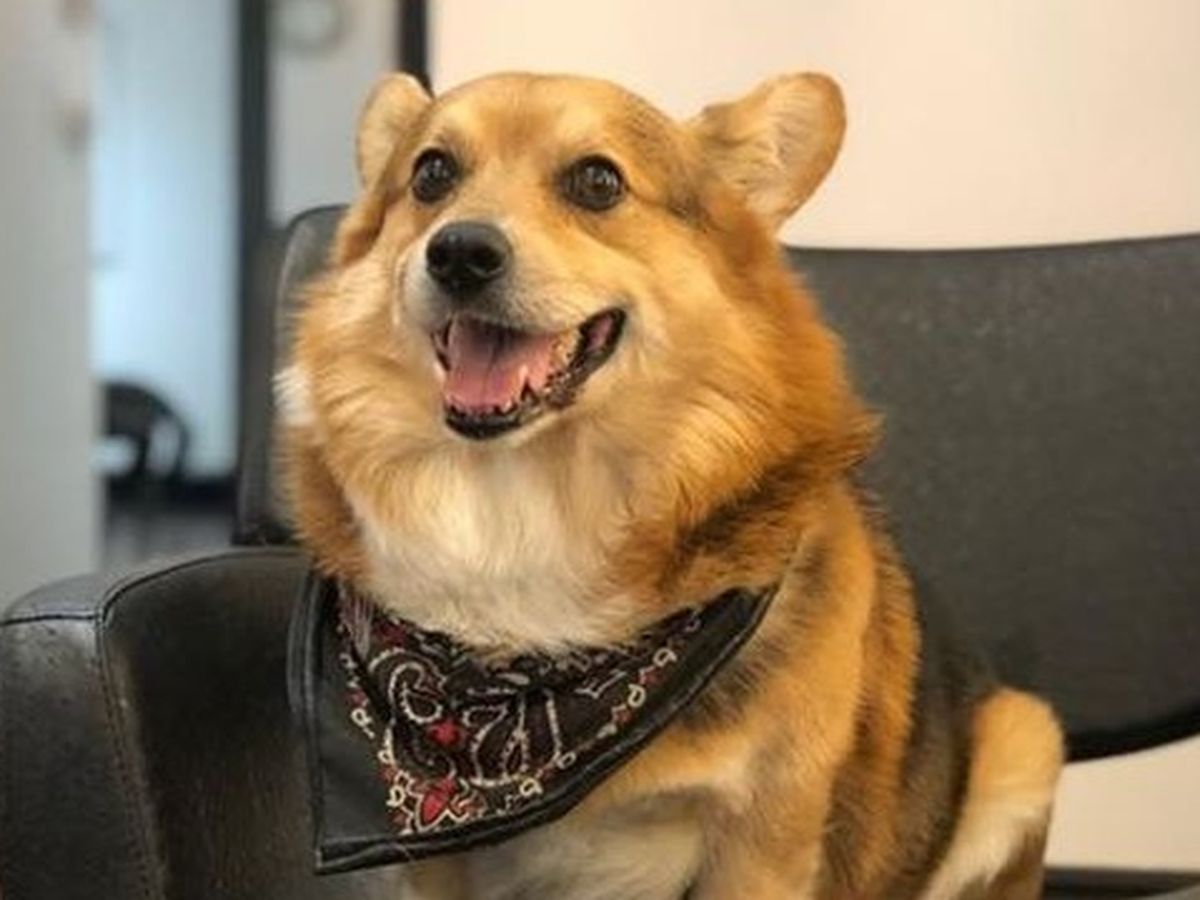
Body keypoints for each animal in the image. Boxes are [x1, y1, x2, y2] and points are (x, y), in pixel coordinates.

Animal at [277, 71, 1064, 900]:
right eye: (431, 174)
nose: (459, 252)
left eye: (597, 181)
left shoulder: (763, 841)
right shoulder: (428, 868)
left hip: (1024, 740)